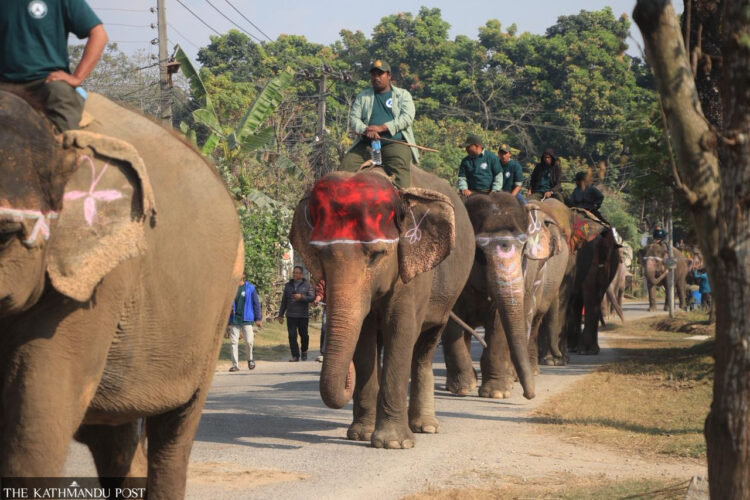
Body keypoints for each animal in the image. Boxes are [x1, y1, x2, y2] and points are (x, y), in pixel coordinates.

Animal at [0, 90, 242, 497]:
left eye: (4, 235)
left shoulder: (97, 281)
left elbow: (36, 424)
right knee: (113, 439)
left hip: (219, 304)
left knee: (175, 432)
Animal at [289, 165, 474, 449]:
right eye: (319, 255)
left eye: (376, 256)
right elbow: (364, 338)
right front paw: (361, 435)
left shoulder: (413, 273)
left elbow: (400, 329)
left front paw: (393, 443)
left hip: (447, 296)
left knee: (426, 346)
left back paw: (426, 427)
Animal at [442, 193, 566, 398]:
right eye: (479, 253)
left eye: (524, 248)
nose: (529, 395)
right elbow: (452, 322)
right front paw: (462, 388)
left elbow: (500, 322)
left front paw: (496, 393)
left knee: (529, 320)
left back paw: (514, 377)